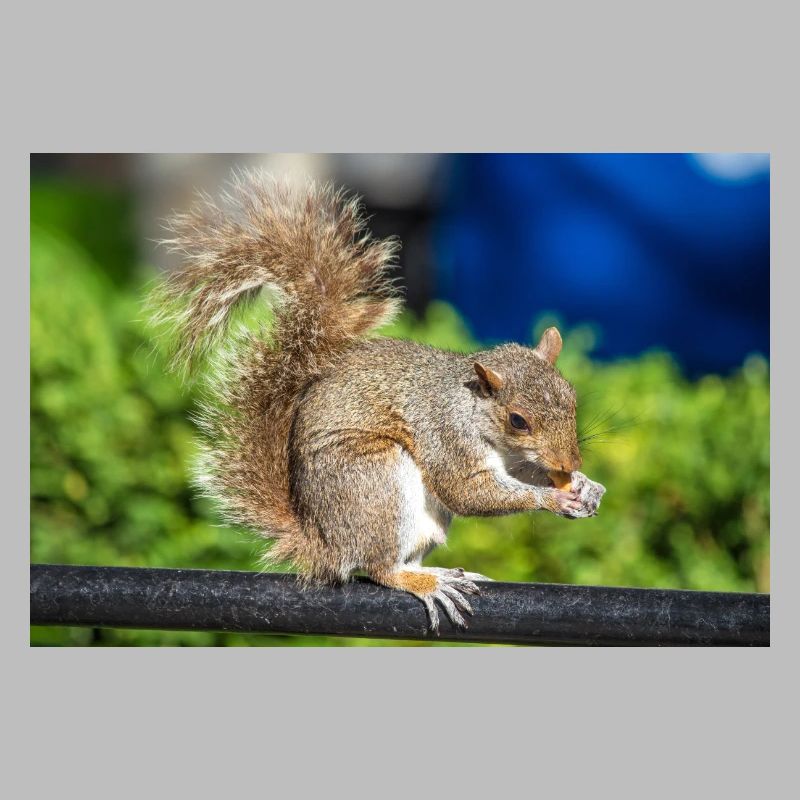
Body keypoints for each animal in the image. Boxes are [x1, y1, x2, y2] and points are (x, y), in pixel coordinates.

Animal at [149, 168, 606, 632]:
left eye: (571, 399)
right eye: (517, 420)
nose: (571, 462)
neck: (473, 409)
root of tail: (324, 543)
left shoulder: (513, 459)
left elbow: (520, 473)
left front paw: (584, 485)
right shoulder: (446, 435)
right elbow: (467, 491)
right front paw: (554, 498)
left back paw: (436, 572)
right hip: (376, 481)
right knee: (379, 567)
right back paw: (424, 582)